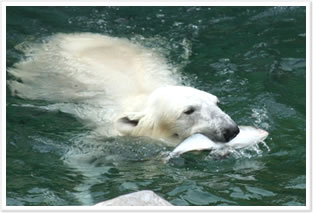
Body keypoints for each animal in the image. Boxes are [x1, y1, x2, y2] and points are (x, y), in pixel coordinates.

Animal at [7, 33, 239, 146]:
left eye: (216, 102)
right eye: (188, 111)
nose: (231, 130)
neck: (144, 99)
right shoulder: (108, 129)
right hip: (40, 74)